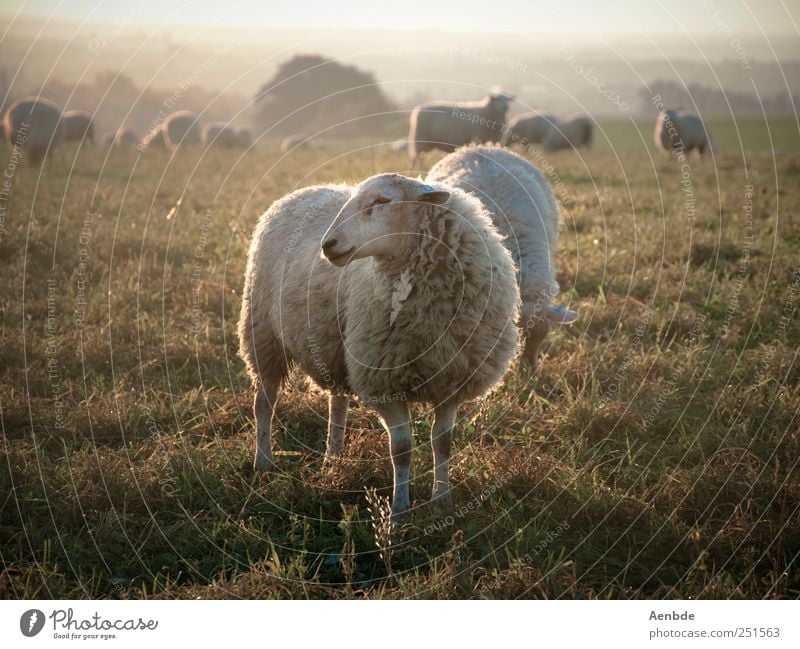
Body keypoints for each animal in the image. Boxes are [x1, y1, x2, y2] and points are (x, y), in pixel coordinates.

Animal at [238, 172, 520, 516]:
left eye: (383, 201)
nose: (327, 245)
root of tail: (303, 191)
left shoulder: (451, 379)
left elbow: (442, 443)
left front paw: (442, 502)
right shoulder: (384, 381)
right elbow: (402, 449)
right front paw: (399, 510)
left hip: (333, 348)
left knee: (337, 403)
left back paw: (334, 458)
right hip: (263, 336)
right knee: (264, 404)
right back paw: (263, 461)